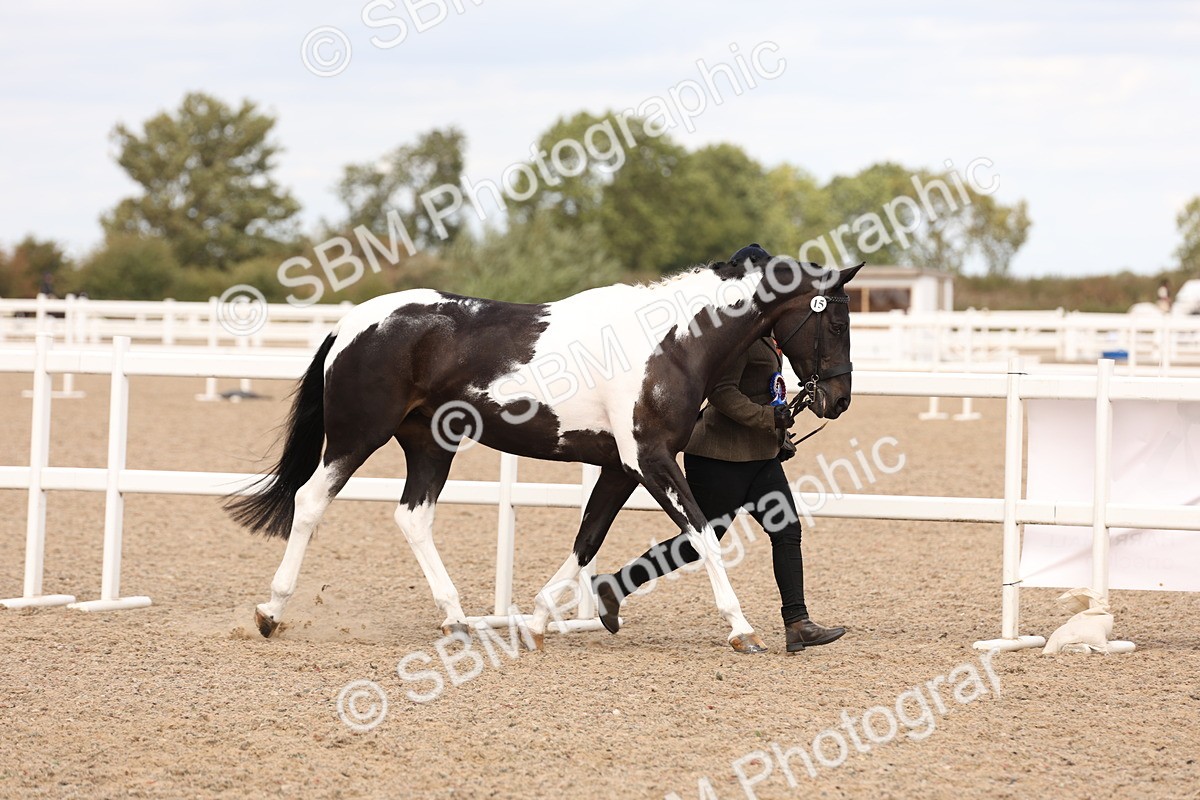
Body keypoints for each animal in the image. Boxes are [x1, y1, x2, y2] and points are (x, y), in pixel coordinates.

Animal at [226, 250, 862, 653]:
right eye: (835, 324)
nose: (837, 399)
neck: (671, 343)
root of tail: (352, 323)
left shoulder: (620, 467)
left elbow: (588, 538)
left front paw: (535, 620)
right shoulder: (650, 460)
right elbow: (704, 533)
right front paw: (741, 628)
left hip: (429, 444)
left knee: (412, 517)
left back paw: (456, 620)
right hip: (356, 437)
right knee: (311, 502)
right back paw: (270, 612)